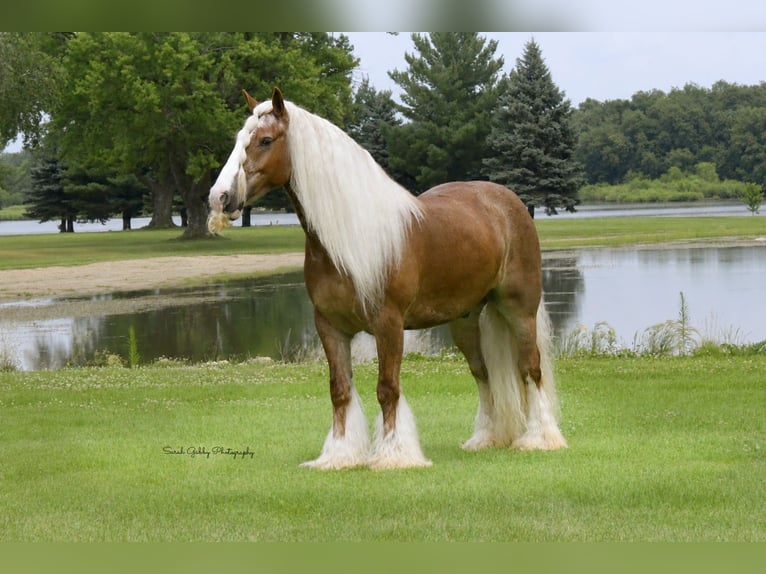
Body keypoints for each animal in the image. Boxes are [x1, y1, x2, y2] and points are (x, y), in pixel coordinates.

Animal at [208, 87, 567, 470]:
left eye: (265, 140)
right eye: (238, 139)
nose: (220, 197)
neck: (349, 239)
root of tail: (508, 201)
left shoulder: (388, 324)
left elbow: (387, 388)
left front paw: (394, 455)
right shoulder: (330, 326)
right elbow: (340, 390)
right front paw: (340, 454)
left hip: (519, 310)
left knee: (530, 368)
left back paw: (539, 439)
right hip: (465, 321)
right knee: (482, 373)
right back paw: (487, 438)